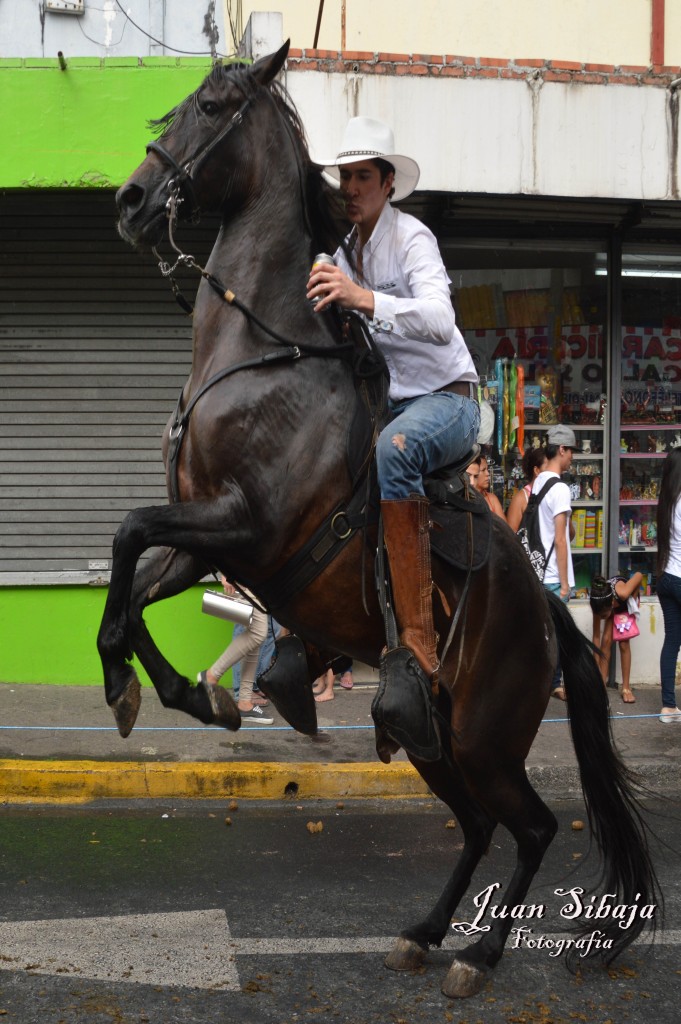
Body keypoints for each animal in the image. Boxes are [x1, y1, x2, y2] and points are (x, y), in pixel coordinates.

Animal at [98, 41, 655, 999]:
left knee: (533, 827)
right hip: (438, 744)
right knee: (480, 827)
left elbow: (130, 529)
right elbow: (129, 575)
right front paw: (172, 691)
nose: (133, 202)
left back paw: (477, 953)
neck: (265, 353)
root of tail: (548, 611)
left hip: (484, 738)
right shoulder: (205, 534)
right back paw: (425, 931)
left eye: (211, 107)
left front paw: (166, 690)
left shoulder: (247, 527)